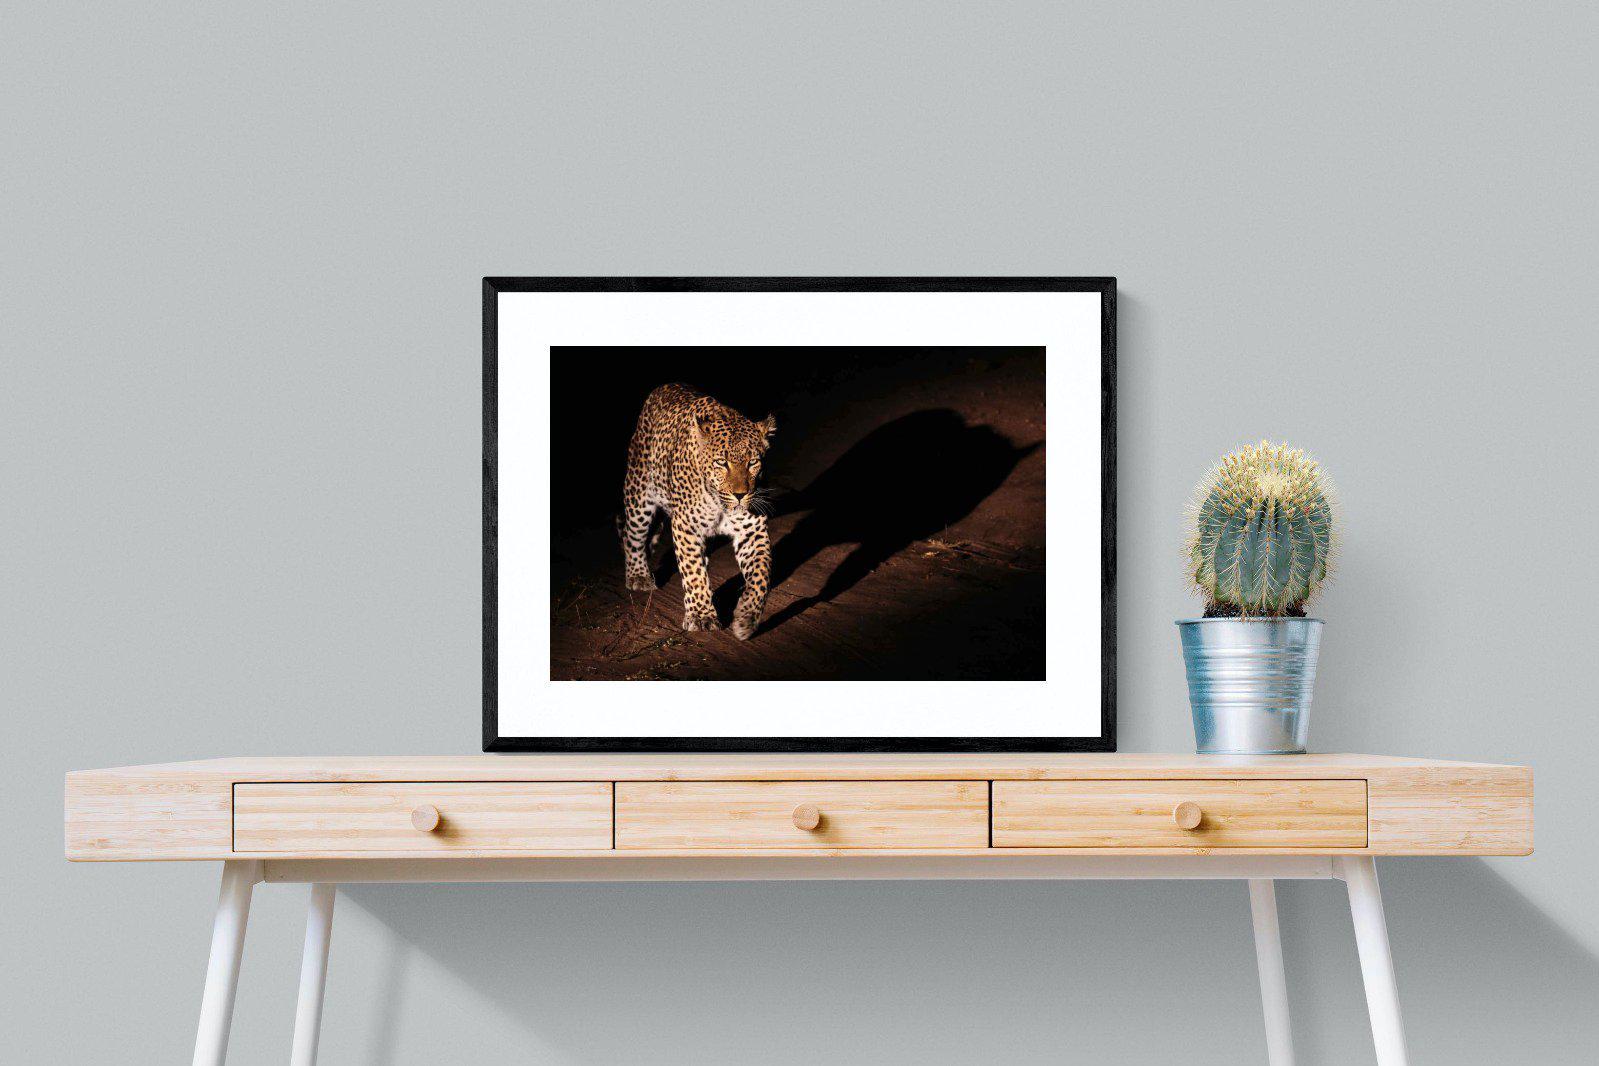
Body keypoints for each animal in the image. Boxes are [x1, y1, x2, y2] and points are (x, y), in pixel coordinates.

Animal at [620, 383, 777, 640]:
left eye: (753, 462)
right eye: (722, 463)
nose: (740, 495)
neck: (718, 502)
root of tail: (664, 386)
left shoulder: (752, 531)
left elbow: (761, 575)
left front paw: (746, 617)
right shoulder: (686, 526)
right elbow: (693, 573)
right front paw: (702, 616)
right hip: (638, 495)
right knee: (632, 536)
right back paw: (638, 576)